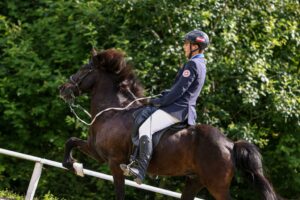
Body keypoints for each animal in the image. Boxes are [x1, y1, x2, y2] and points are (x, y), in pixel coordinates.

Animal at [59, 48, 278, 200]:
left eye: (85, 69)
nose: (63, 88)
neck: (114, 111)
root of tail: (230, 144)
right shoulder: (97, 151)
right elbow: (71, 141)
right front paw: (72, 165)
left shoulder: (114, 162)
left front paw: (72, 164)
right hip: (195, 181)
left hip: (216, 185)